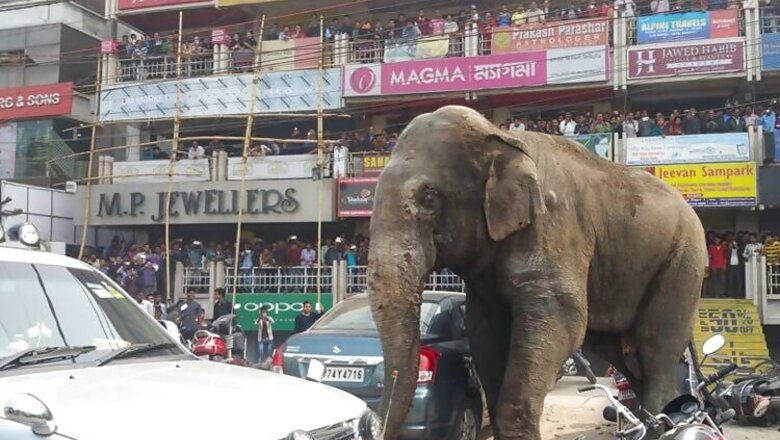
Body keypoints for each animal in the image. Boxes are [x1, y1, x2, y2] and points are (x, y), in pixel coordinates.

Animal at [367, 106, 706, 440]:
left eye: (429, 197)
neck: (501, 137)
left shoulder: (556, 227)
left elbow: (564, 318)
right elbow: (485, 331)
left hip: (683, 260)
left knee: (655, 344)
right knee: (619, 353)